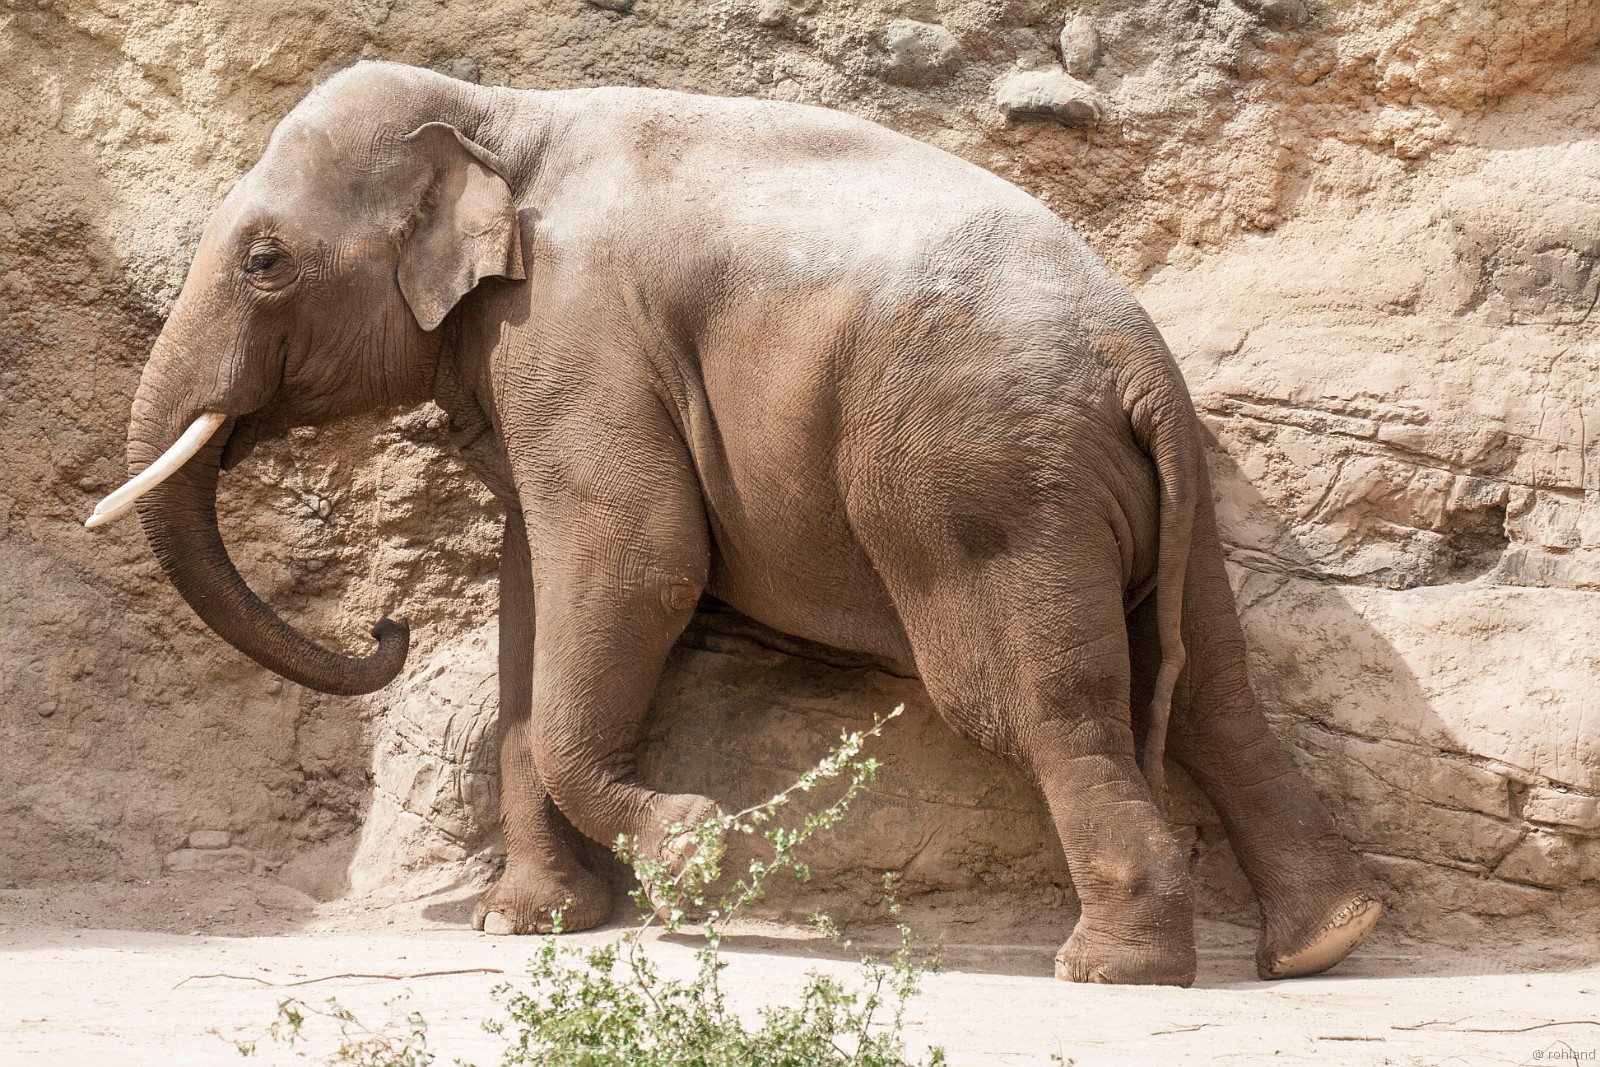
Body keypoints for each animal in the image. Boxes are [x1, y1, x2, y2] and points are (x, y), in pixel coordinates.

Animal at [87, 61, 1380, 986]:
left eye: (264, 261)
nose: (386, 627)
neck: (498, 109)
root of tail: (1134, 350)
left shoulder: (576, 335)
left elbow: (638, 560)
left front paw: (698, 851)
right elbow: (535, 592)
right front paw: (531, 923)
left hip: (991, 482)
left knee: (1037, 703)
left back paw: (1110, 970)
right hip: (1163, 487)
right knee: (1210, 682)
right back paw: (1323, 939)